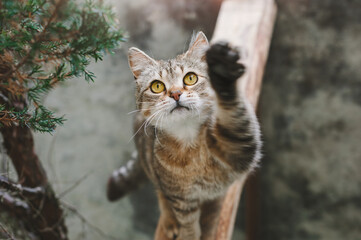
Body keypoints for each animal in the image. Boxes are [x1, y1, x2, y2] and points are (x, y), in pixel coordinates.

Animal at [107, 32, 262, 240]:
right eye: (157, 86)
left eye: (190, 78)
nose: (175, 93)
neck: (190, 145)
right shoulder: (181, 198)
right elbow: (188, 222)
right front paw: (187, 232)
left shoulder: (239, 149)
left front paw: (222, 73)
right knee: (160, 193)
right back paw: (168, 219)